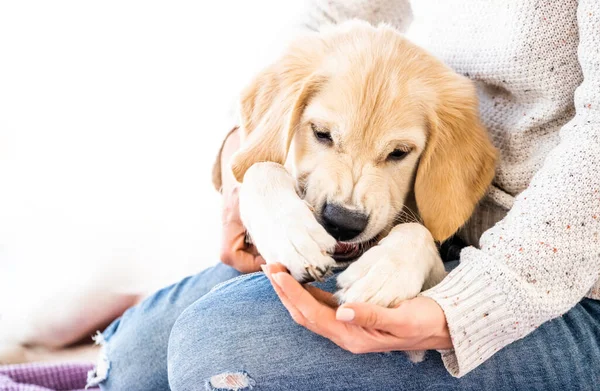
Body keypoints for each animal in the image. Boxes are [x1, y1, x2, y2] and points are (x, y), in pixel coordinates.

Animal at [218, 20, 494, 310]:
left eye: (399, 152)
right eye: (321, 133)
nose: (343, 223)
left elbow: (418, 230)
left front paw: (384, 271)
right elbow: (259, 167)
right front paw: (295, 237)